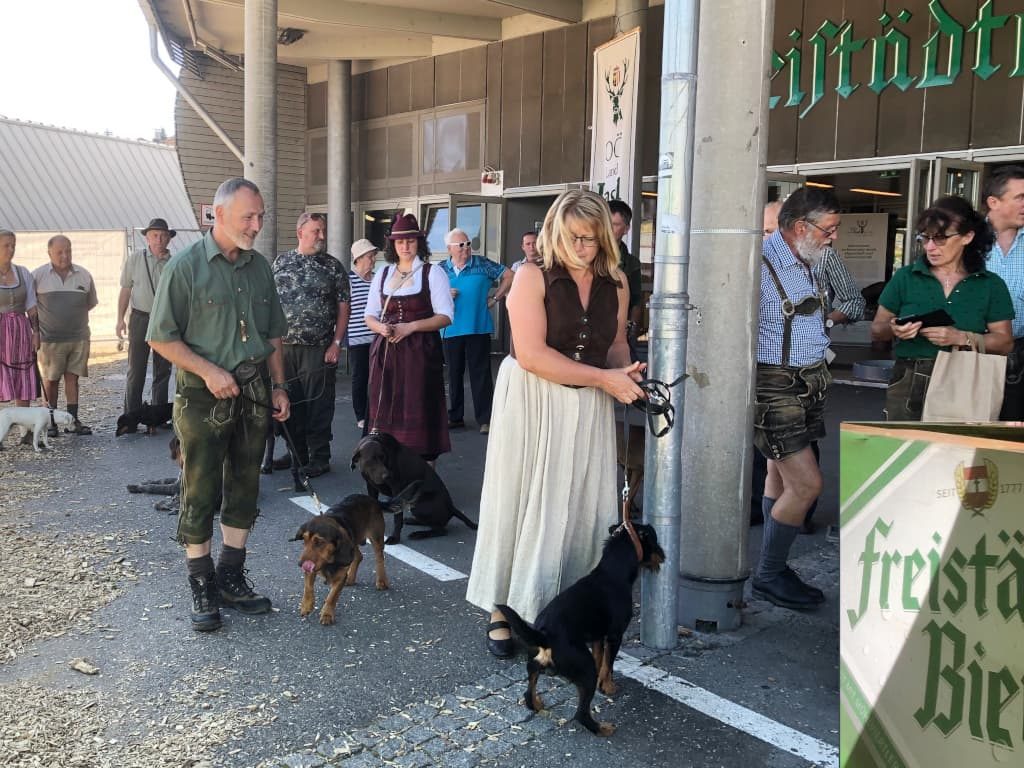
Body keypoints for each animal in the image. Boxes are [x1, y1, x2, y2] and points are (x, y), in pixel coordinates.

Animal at [290, 487, 417, 626]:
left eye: (319, 542)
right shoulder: (311, 569)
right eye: (304, 540)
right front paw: (306, 605)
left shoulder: (340, 576)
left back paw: (381, 580)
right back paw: (351, 578)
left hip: (376, 538)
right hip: (353, 541)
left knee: (379, 558)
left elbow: (332, 597)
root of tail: (372, 499)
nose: (300, 564)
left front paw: (327, 614)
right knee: (359, 556)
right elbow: (308, 587)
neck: (329, 561)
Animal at [499, 528, 667, 737]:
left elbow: (600, 658)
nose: (664, 556)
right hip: (586, 670)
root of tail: (546, 636)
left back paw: (537, 704)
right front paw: (608, 687)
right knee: (581, 714)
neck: (611, 572)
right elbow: (608, 664)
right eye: (655, 540)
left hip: (534, 662)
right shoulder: (615, 636)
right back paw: (602, 728)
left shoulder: (597, 637)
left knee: (529, 691)